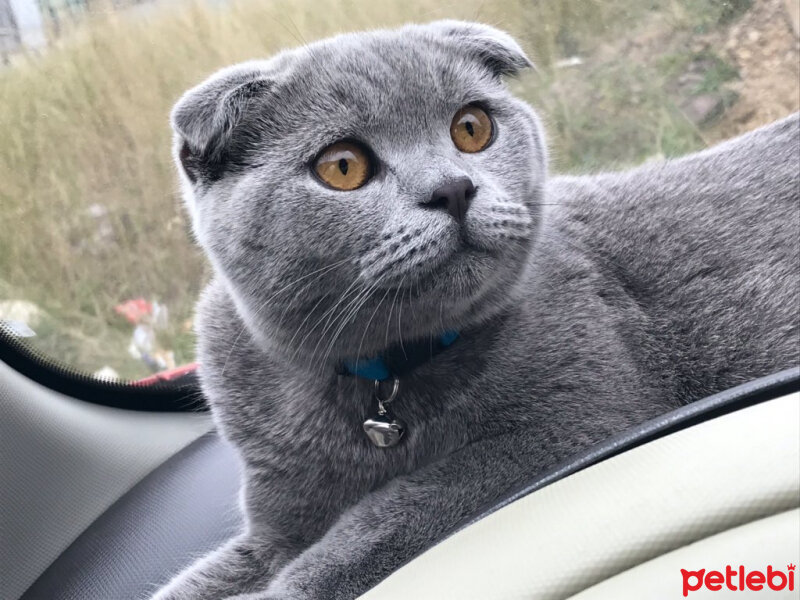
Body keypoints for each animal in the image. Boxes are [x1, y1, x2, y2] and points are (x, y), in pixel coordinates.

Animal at [152, 19, 800, 600]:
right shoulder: (274, 527)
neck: (382, 382)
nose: (453, 188)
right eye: (342, 166)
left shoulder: (573, 425)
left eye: (471, 128)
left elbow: (382, 519)